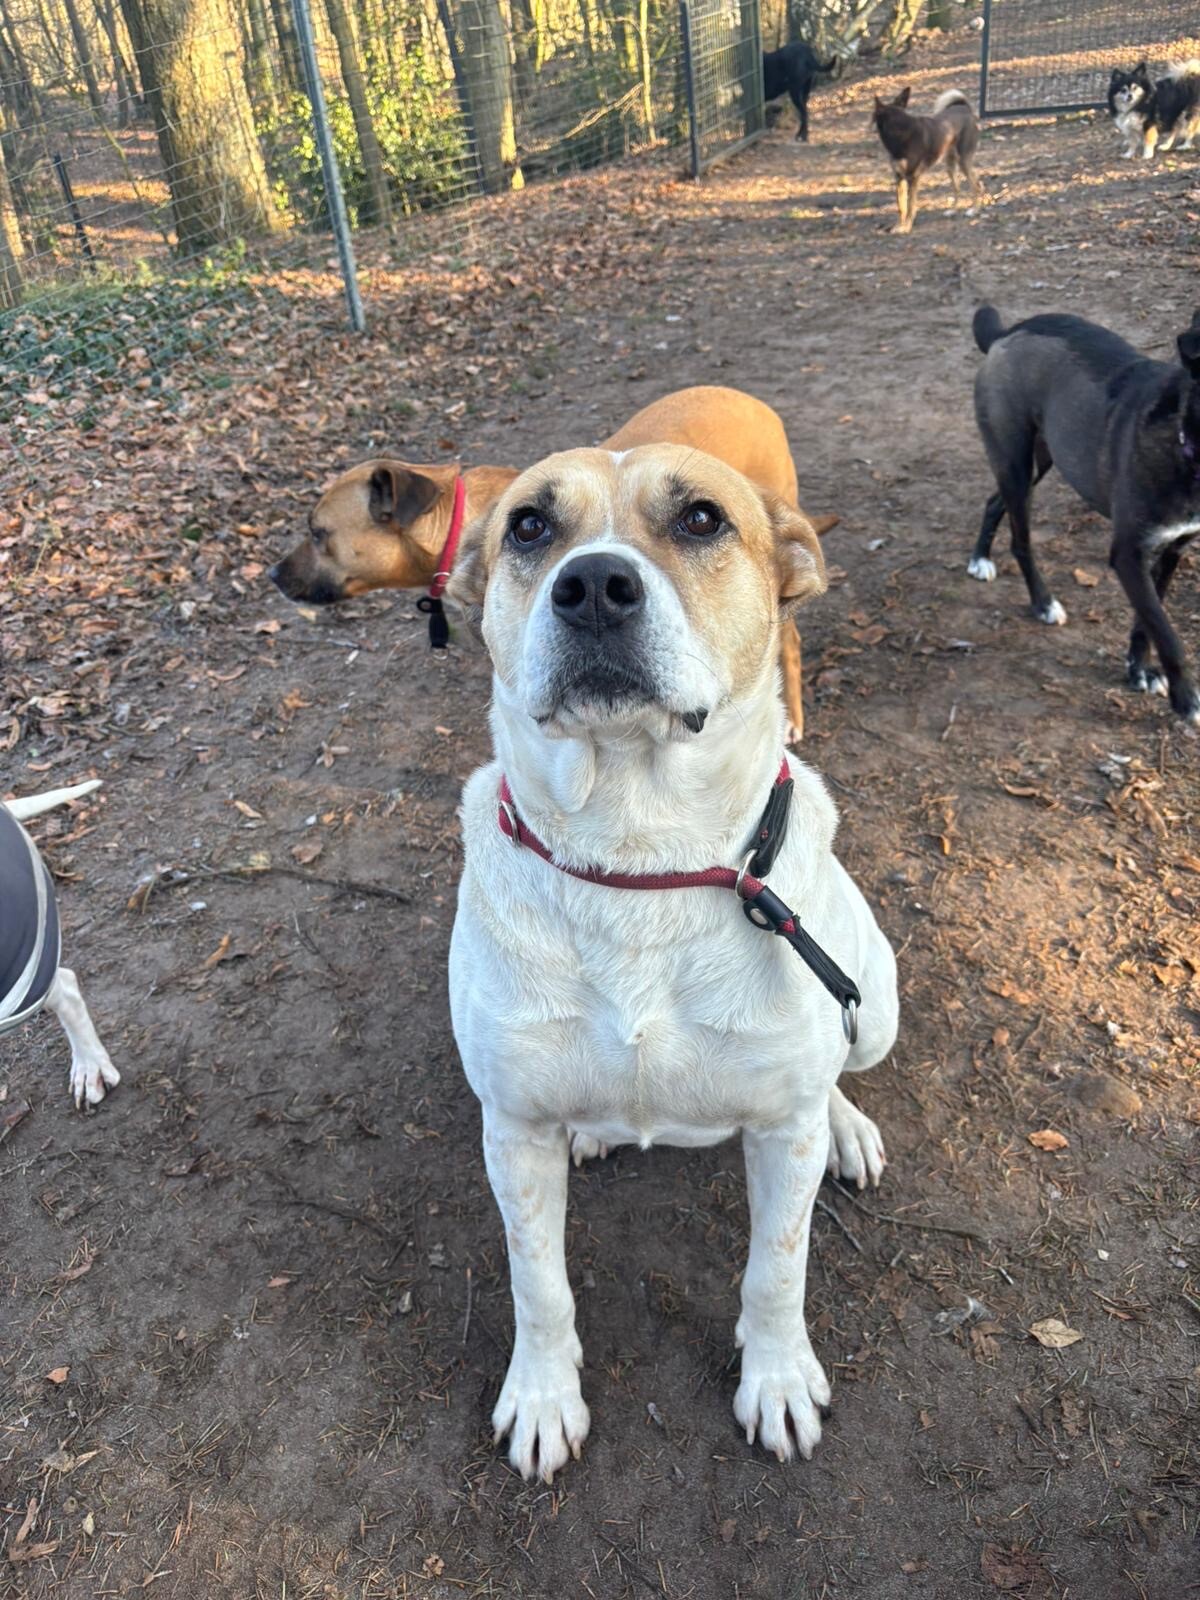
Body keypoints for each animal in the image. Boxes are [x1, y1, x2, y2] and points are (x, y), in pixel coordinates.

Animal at [443, 444, 898, 1481]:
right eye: (529, 526)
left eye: (700, 520)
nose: (593, 589)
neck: (639, 857)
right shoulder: (512, 1130)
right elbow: (539, 1285)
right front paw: (543, 1397)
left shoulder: (781, 1132)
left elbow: (778, 1269)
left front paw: (776, 1379)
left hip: (875, 999)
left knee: (844, 1060)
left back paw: (849, 1126)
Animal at [872, 87, 982, 233]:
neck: (901, 132)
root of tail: (964, 108)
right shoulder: (899, 178)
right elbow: (901, 206)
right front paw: (898, 226)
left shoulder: (912, 178)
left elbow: (910, 205)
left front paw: (906, 227)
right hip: (950, 165)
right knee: (958, 187)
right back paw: (953, 210)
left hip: (963, 161)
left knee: (976, 185)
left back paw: (974, 210)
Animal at [968, 304, 1200, 723]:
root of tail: (1009, 331)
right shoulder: (1128, 555)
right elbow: (1166, 631)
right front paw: (1186, 699)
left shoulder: (1171, 552)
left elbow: (1148, 621)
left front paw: (1139, 671)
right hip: (1015, 465)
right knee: (1021, 541)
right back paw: (1042, 602)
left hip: (1039, 461)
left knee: (993, 502)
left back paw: (981, 558)